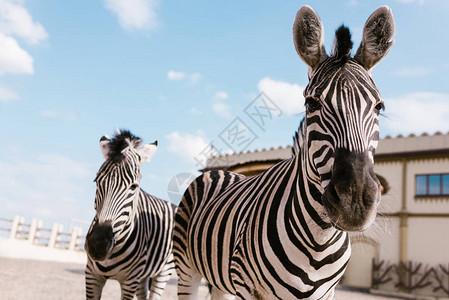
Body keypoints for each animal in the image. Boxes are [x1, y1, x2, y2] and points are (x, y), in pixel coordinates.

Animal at [85, 131, 176, 300]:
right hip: (143, 275)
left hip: (164, 271)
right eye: (96, 181)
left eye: (134, 186)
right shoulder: (91, 275)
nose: (97, 244)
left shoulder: (130, 281)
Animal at [173, 5, 394, 300]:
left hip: (219, 280)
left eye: (379, 106)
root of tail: (219, 171)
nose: (355, 202)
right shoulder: (248, 287)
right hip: (187, 269)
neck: (319, 239)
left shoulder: (328, 293)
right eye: (311, 103)